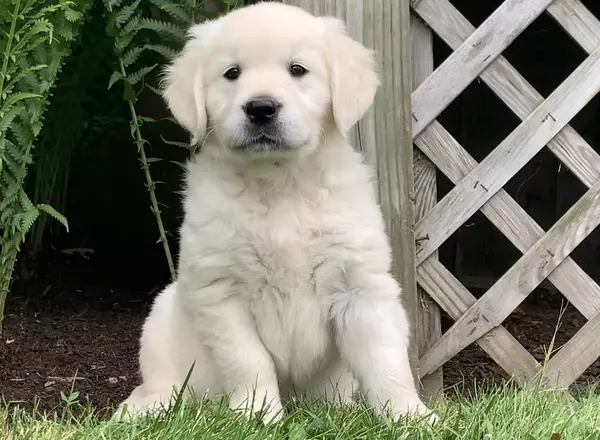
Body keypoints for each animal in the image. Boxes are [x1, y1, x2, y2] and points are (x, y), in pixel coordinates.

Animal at [112, 1, 434, 424]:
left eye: (297, 70)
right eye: (232, 73)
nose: (261, 108)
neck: (280, 185)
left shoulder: (361, 288)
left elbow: (387, 363)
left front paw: (411, 417)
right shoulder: (220, 292)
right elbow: (249, 362)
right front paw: (257, 417)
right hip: (163, 314)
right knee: (161, 382)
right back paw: (143, 409)